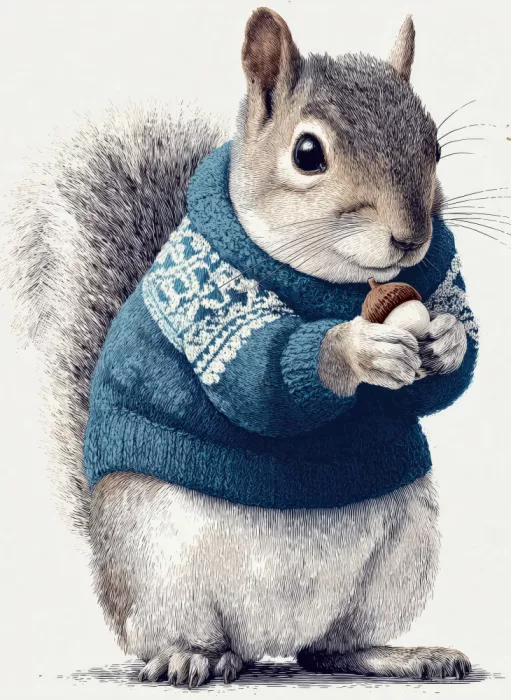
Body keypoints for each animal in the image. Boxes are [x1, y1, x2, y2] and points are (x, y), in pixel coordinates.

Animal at [2, 7, 478, 688]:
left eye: (434, 144)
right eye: (308, 154)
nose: (412, 237)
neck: (337, 281)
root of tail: (266, 642)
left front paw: (449, 338)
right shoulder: (206, 301)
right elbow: (258, 382)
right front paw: (355, 347)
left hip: (403, 555)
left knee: (329, 649)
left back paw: (400, 656)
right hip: (155, 562)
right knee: (173, 637)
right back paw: (190, 656)